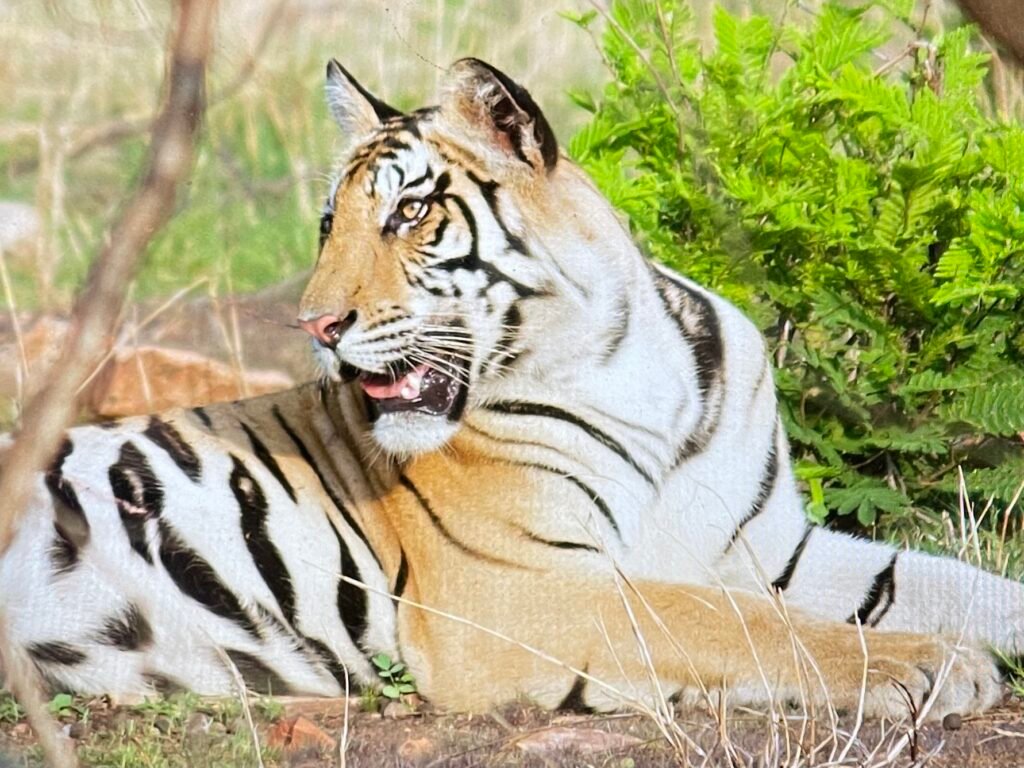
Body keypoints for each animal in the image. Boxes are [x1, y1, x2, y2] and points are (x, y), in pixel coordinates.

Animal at [1, 57, 1022, 721]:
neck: (629, 368)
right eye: (331, 224)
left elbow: (956, 581)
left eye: (410, 212)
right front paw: (932, 668)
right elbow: (732, 622)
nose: (317, 326)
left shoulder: (775, 549)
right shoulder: (523, 591)